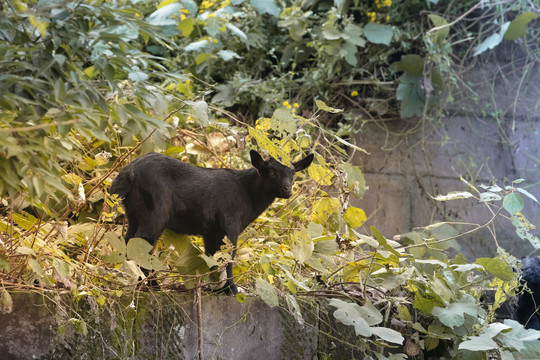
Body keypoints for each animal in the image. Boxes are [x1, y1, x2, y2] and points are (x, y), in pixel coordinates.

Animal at [110, 150, 312, 294]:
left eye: (293, 172)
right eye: (271, 172)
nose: (287, 189)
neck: (247, 194)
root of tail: (127, 174)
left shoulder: (212, 232)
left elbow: (213, 257)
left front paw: (215, 288)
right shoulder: (230, 223)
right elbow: (229, 257)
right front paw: (231, 289)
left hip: (133, 213)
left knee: (128, 240)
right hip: (155, 213)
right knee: (144, 244)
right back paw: (152, 286)